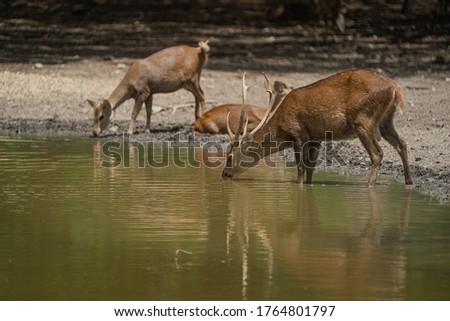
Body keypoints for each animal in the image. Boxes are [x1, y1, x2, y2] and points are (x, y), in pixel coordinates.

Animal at [223, 69, 414, 185]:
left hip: (364, 119)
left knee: (377, 154)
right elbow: (310, 168)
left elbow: (300, 167)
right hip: (385, 120)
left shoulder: (298, 134)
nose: (224, 174)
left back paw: (369, 185)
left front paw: (299, 187)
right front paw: (308, 186)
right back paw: (409, 182)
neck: (280, 126)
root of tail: (395, 88)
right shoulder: (316, 138)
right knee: (402, 143)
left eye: (230, 156)